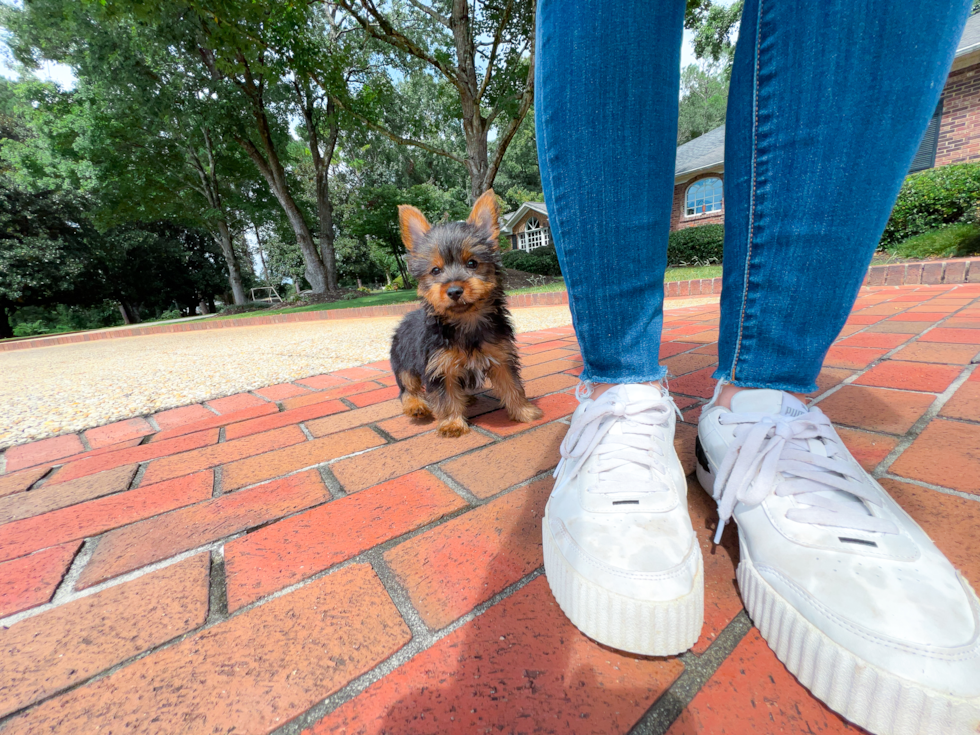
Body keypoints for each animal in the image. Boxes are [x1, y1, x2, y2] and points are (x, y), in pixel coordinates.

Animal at [388, 190, 544, 436]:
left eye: (472, 263)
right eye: (435, 270)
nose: (454, 290)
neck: (465, 321)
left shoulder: (501, 356)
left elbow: (512, 385)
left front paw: (523, 411)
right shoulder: (439, 366)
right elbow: (446, 396)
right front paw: (452, 423)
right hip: (403, 361)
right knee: (407, 388)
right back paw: (416, 406)